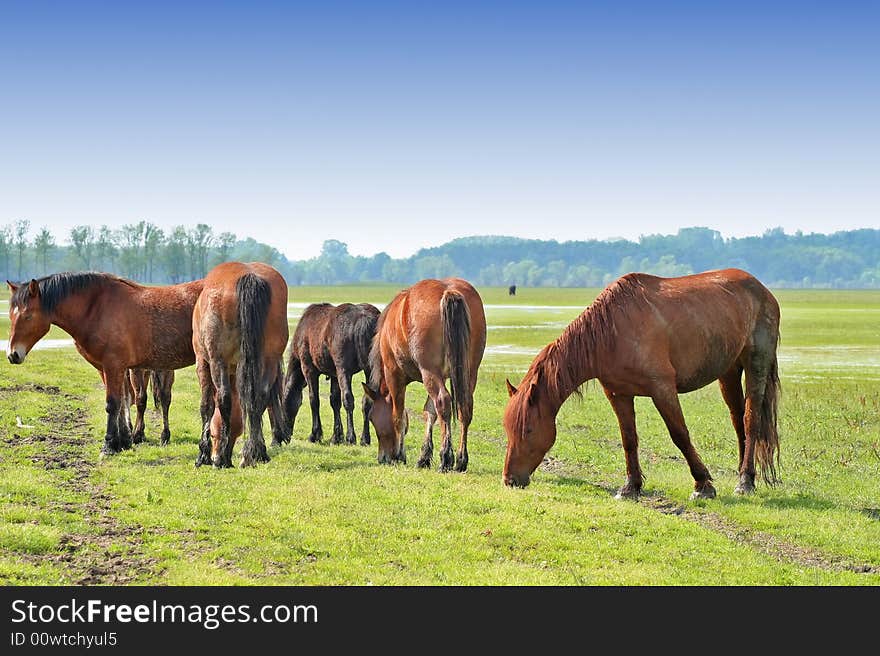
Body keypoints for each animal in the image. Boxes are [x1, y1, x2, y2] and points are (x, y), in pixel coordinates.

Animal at [5, 272, 205, 456]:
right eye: (11, 316)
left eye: (28, 316)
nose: (12, 354)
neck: (97, 308)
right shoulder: (108, 369)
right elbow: (123, 402)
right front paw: (123, 441)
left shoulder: (114, 366)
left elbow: (113, 404)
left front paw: (109, 445)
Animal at [192, 258, 288, 468]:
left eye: (214, 434)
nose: (215, 455)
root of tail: (248, 275)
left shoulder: (203, 361)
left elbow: (206, 406)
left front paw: (204, 455)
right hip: (269, 359)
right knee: (260, 397)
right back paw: (255, 454)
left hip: (216, 361)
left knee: (224, 398)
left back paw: (223, 459)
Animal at [282, 302, 378, 446]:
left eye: (282, 404)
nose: (285, 436)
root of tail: (364, 319)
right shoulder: (334, 375)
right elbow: (335, 401)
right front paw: (336, 436)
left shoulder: (309, 370)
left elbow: (314, 400)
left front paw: (315, 434)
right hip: (369, 370)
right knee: (367, 401)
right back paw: (364, 438)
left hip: (344, 370)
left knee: (348, 399)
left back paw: (351, 437)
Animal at [364, 276, 488, 472]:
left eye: (371, 418)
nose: (382, 458)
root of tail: (449, 291)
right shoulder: (441, 376)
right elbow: (430, 413)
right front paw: (424, 456)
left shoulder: (395, 376)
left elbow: (398, 417)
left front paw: (400, 455)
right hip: (468, 373)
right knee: (464, 408)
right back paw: (461, 460)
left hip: (430, 373)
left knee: (443, 402)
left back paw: (446, 457)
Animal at [498, 270, 780, 500]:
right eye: (508, 429)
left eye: (528, 430)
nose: (510, 480)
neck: (612, 331)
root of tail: (762, 289)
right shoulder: (618, 394)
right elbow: (629, 439)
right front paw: (631, 486)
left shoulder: (662, 389)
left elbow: (680, 435)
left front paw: (703, 485)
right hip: (728, 373)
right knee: (738, 419)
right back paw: (744, 474)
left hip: (756, 365)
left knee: (751, 421)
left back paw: (745, 482)